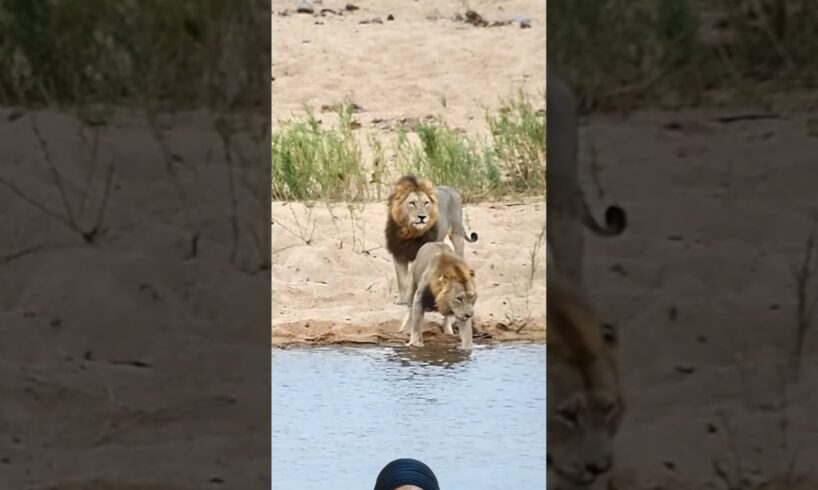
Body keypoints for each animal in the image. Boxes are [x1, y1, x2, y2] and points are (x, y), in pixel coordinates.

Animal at [384, 176, 474, 304]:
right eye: (412, 203)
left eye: (426, 203)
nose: (422, 217)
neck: (409, 232)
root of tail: (451, 188)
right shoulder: (398, 255)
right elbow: (401, 280)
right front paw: (402, 300)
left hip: (456, 232)